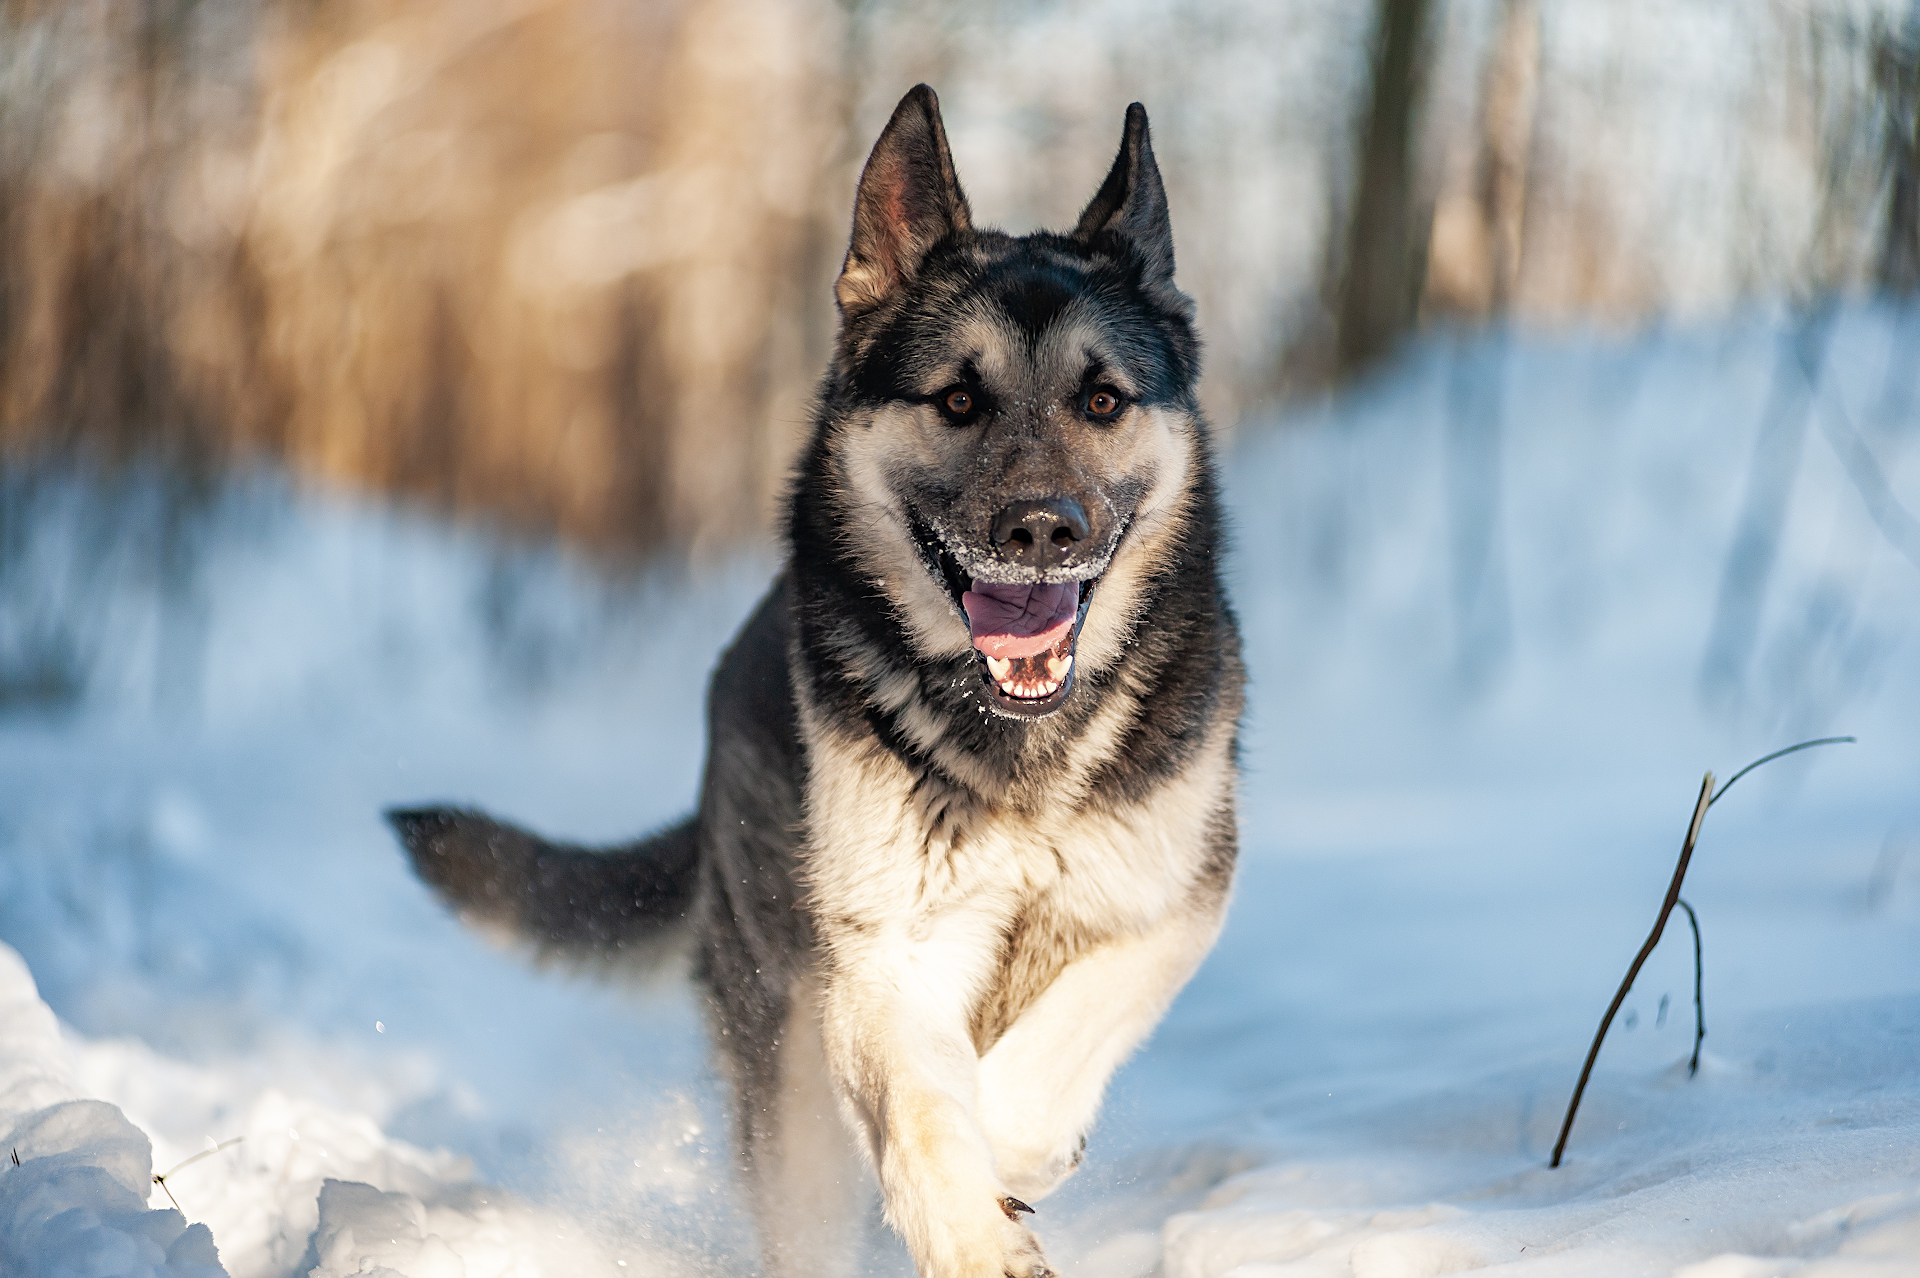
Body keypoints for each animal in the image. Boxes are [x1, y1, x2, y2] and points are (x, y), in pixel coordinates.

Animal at [389, 87, 1244, 1274]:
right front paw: (974, 1235)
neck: (1015, 747)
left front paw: (1018, 1146)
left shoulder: (1168, 903)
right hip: (784, 1052)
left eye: (1104, 401)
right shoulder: (881, 963)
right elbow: (927, 1120)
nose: (1041, 531)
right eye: (959, 401)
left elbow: (1057, 1046)